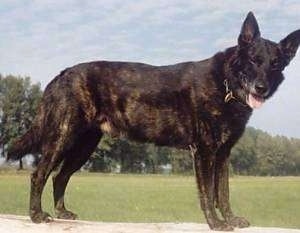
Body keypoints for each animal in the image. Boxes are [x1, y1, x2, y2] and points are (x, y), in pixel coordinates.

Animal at [7, 11, 300, 230]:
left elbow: (223, 192)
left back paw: (62, 212)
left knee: (60, 176)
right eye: (253, 60)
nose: (261, 87)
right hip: (63, 137)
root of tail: (62, 74)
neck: (226, 84)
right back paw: (37, 215)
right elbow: (208, 193)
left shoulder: (223, 154)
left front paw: (230, 219)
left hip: (84, 146)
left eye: (275, 64)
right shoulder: (204, 152)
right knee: (40, 174)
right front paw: (216, 223)